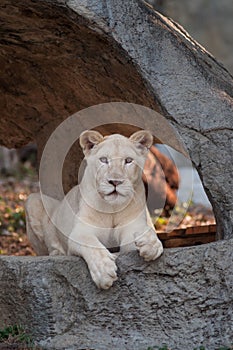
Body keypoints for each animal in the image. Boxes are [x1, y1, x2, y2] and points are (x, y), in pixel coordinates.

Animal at [25, 130, 163, 288]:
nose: (115, 182)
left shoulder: (132, 228)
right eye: (104, 160)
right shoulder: (80, 232)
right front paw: (104, 271)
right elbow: (92, 245)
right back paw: (58, 253)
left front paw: (150, 243)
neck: (112, 209)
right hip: (32, 200)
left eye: (128, 160)